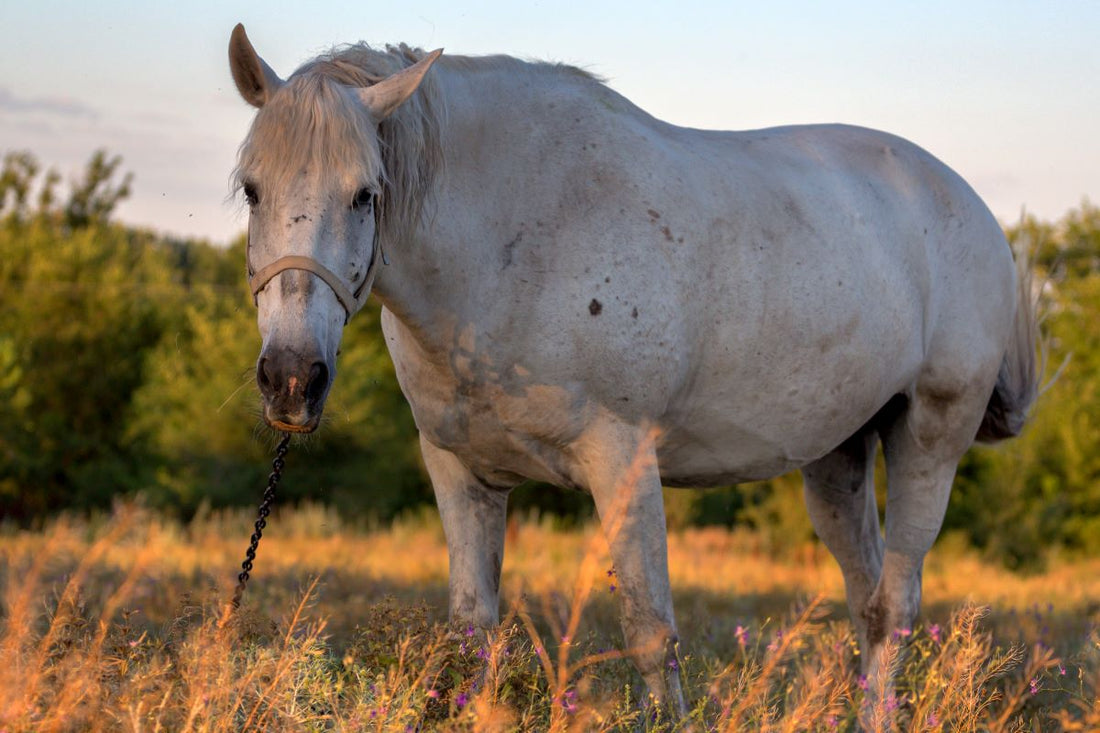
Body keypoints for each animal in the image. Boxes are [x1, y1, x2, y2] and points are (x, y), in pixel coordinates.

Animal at [227, 23, 1039, 714]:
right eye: (252, 188)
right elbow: (471, 638)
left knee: (893, 607)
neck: (513, 236)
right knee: (867, 606)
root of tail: (974, 210)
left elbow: (651, 636)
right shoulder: (461, 472)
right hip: (838, 456)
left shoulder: (623, 458)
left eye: (365, 194)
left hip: (929, 441)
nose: (292, 379)